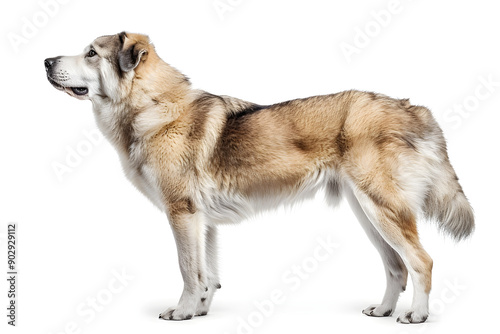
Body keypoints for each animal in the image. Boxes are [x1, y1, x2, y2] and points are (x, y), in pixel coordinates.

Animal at [45, 32, 474, 324]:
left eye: (91, 53)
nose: (46, 60)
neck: (152, 106)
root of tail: (411, 108)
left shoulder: (181, 213)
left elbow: (187, 270)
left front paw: (181, 312)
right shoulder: (202, 222)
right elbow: (207, 274)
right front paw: (200, 311)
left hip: (382, 209)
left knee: (421, 261)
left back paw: (416, 315)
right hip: (367, 213)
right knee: (396, 267)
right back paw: (383, 310)